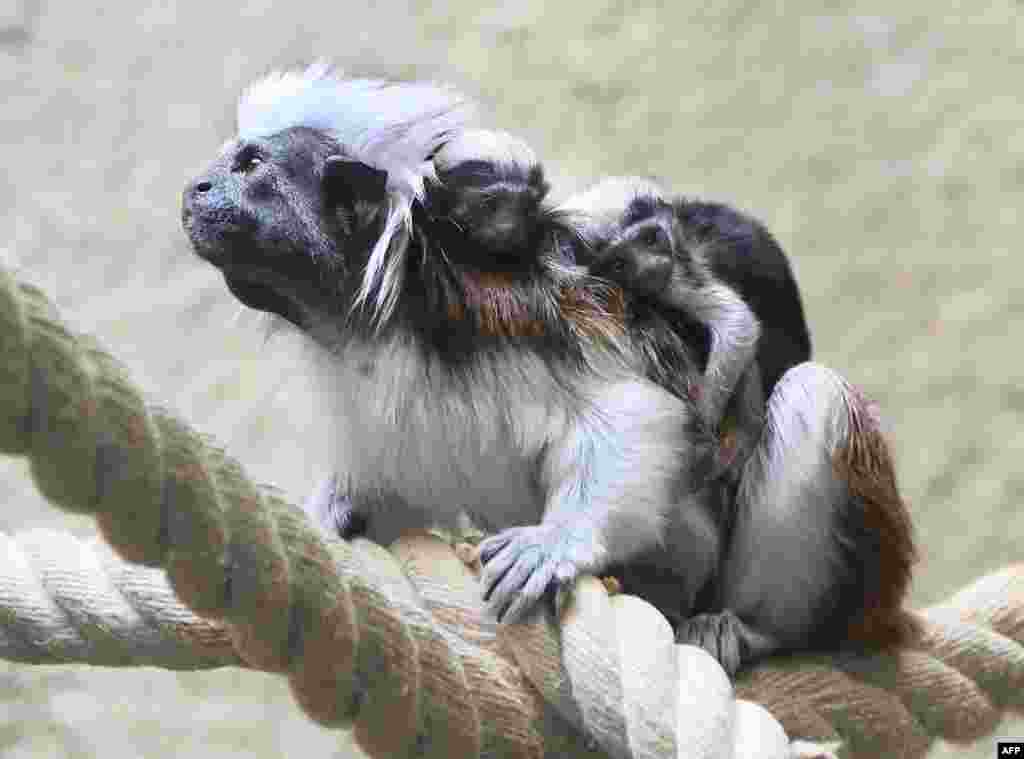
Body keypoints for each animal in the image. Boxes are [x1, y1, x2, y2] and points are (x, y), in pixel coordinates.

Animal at [182, 63, 921, 667]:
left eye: (249, 165)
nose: (196, 187)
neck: (390, 322)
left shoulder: (525, 317)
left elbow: (634, 416)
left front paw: (559, 541)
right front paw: (335, 512)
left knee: (813, 396)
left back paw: (755, 627)